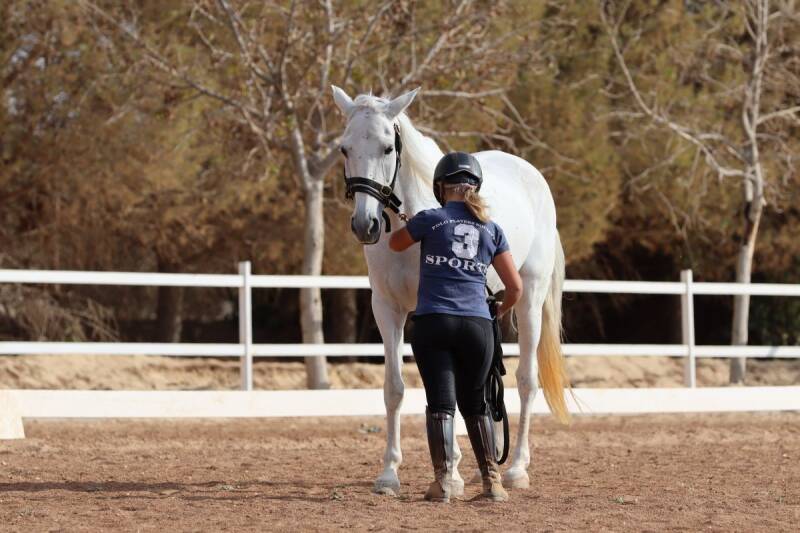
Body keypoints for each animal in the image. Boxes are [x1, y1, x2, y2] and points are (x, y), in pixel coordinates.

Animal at [332, 86, 570, 496]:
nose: (365, 225)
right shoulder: (387, 310)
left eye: (388, 148)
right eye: (345, 149)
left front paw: (452, 471)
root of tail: (531, 175)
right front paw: (389, 473)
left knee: (526, 380)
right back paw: (486, 463)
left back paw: (516, 468)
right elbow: (395, 389)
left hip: (531, 300)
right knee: (488, 385)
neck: (411, 226)